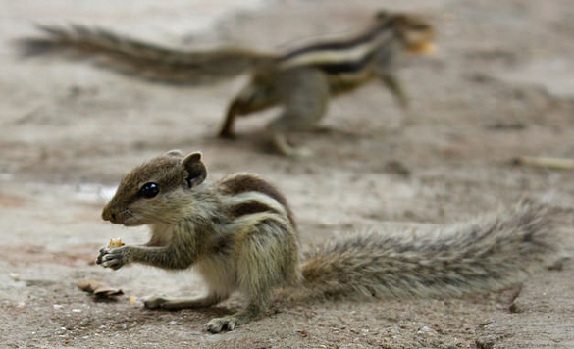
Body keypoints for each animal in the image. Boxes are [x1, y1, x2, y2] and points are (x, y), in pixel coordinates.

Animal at [21, 10, 436, 156]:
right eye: (421, 22)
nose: (435, 29)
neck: (385, 31)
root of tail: (270, 59)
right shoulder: (387, 61)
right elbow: (395, 83)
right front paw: (408, 109)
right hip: (310, 95)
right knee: (278, 122)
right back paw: (289, 148)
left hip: (268, 90)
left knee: (239, 102)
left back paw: (226, 131)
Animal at [95, 150, 560, 332]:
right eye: (127, 177)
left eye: (150, 189)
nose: (106, 215)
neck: (183, 210)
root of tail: (292, 272)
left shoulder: (197, 231)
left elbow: (176, 259)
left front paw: (123, 254)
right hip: (221, 268)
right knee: (213, 295)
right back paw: (172, 301)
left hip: (261, 245)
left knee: (256, 302)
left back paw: (234, 319)